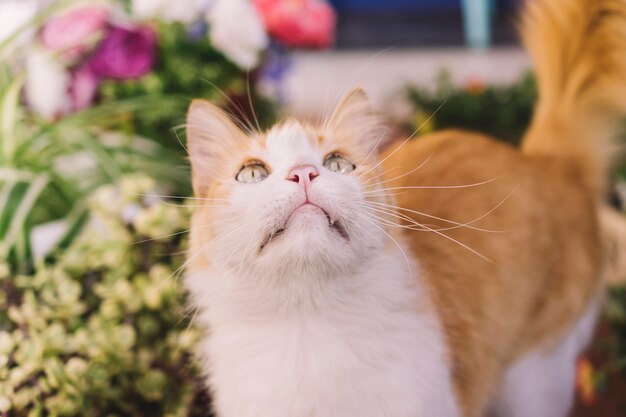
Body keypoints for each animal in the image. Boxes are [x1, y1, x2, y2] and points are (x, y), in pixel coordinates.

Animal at [183, 0, 624, 416]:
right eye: (253, 172)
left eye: (337, 164)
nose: (303, 173)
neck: (305, 325)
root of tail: (545, 159)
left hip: (535, 375)